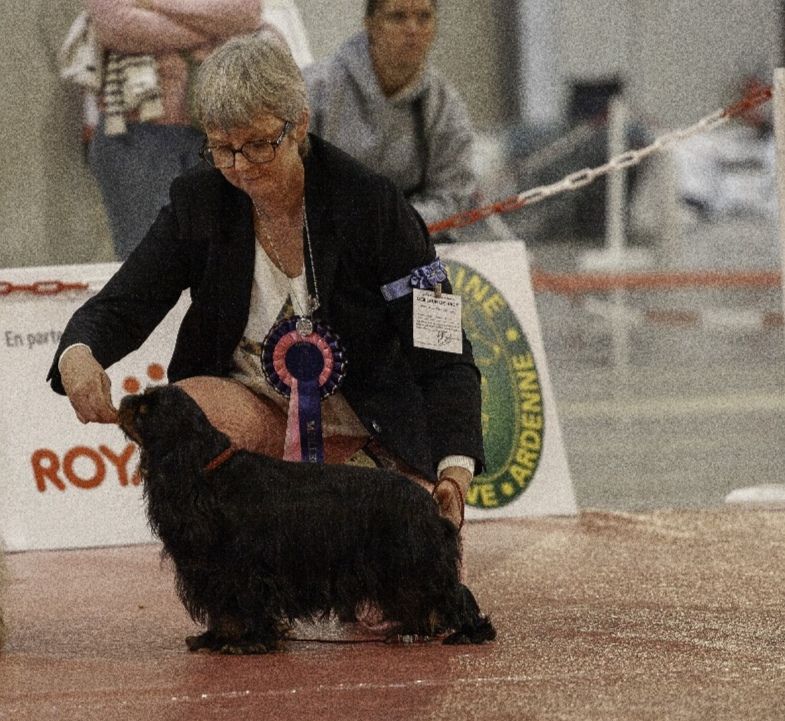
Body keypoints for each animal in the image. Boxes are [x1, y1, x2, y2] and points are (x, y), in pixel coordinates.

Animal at [118, 386, 494, 656]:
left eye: (145, 409)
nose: (123, 399)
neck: (203, 469)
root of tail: (429, 501)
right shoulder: (214, 571)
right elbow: (224, 610)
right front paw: (216, 638)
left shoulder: (243, 567)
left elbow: (244, 605)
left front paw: (249, 642)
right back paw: (410, 631)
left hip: (414, 562)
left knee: (453, 594)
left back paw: (468, 632)